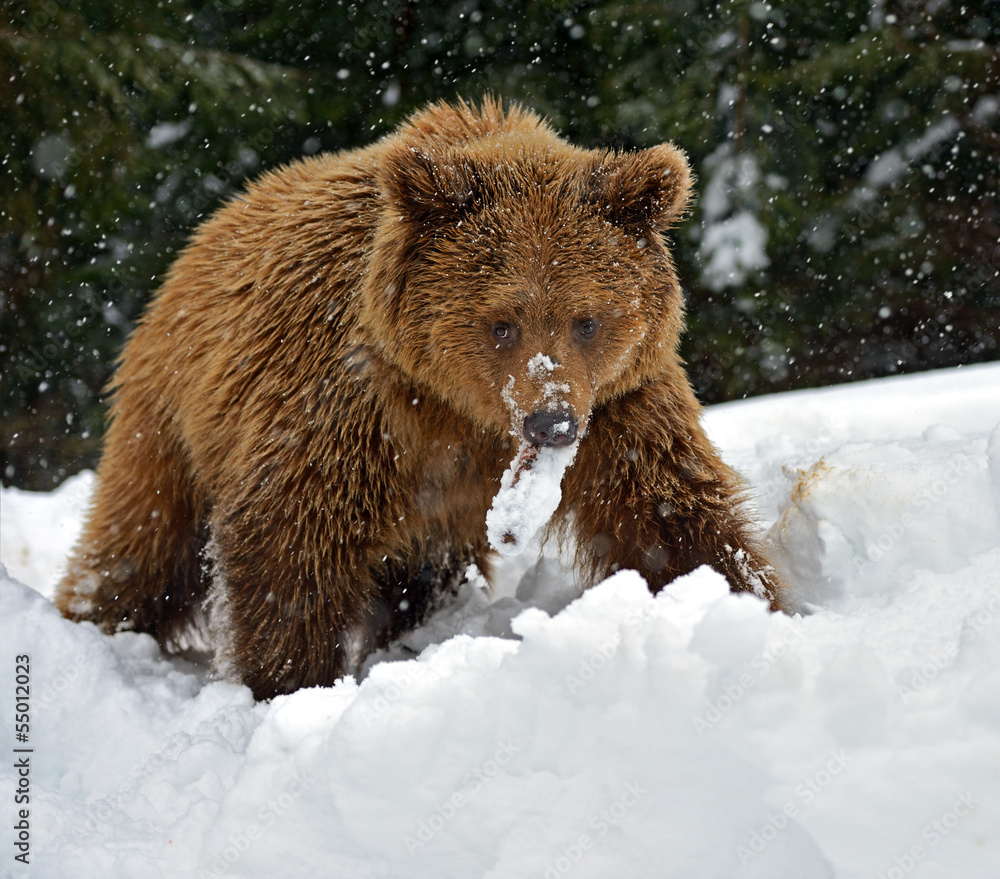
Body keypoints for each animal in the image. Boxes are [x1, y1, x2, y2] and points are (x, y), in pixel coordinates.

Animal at [58, 98, 784, 700]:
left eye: (587, 319)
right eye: (502, 322)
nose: (550, 422)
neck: (464, 411)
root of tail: (205, 235)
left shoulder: (619, 404)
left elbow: (668, 512)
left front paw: (744, 604)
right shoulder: (352, 401)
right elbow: (289, 533)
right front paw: (291, 682)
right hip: (171, 415)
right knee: (145, 541)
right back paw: (91, 622)